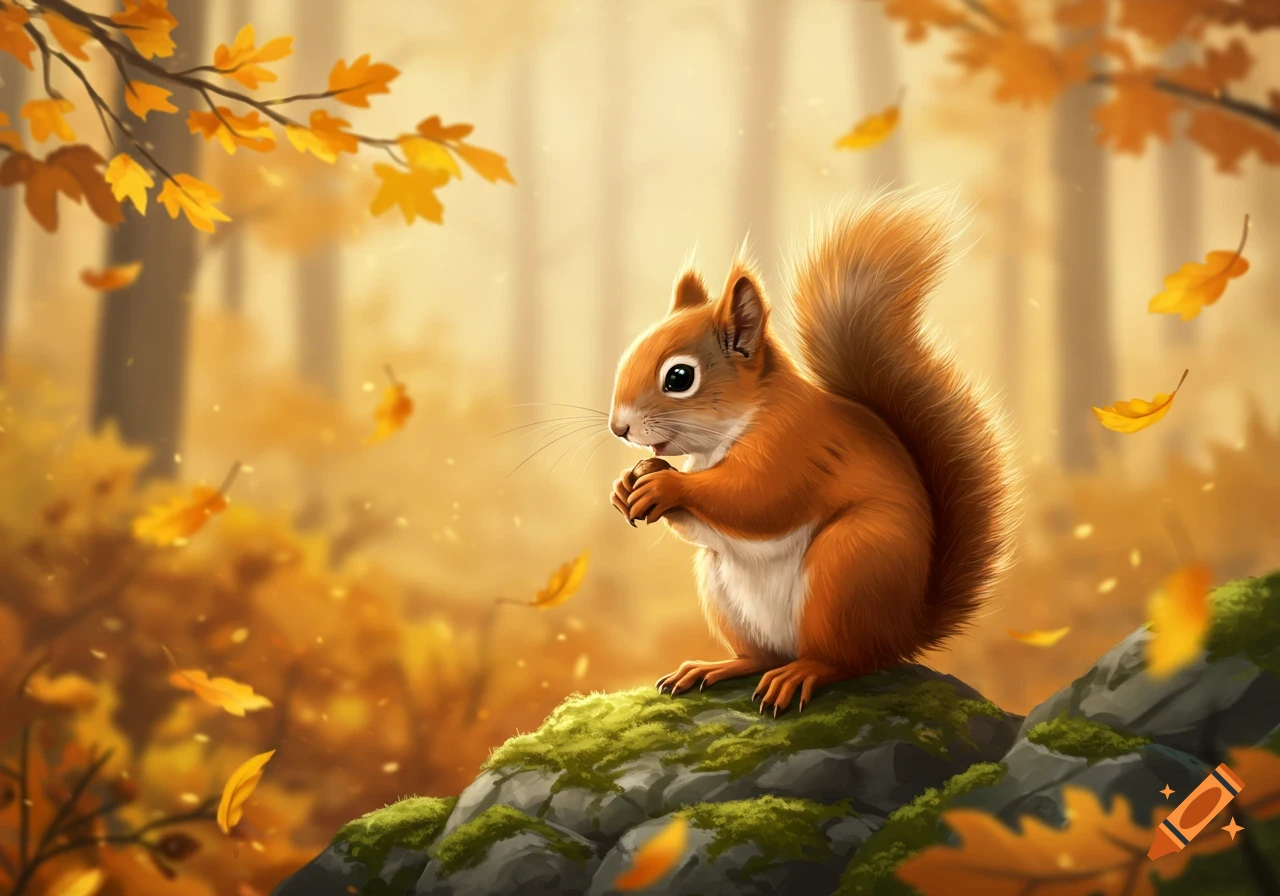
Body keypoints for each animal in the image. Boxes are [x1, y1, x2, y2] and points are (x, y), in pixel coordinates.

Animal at [607, 190, 1018, 714]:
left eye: (679, 377)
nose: (619, 427)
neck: (738, 426)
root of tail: (904, 631)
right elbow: (705, 524)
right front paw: (626, 485)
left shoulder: (795, 448)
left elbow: (756, 499)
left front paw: (664, 483)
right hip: (725, 592)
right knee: (760, 655)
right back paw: (715, 667)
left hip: (847, 566)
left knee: (842, 660)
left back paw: (800, 674)